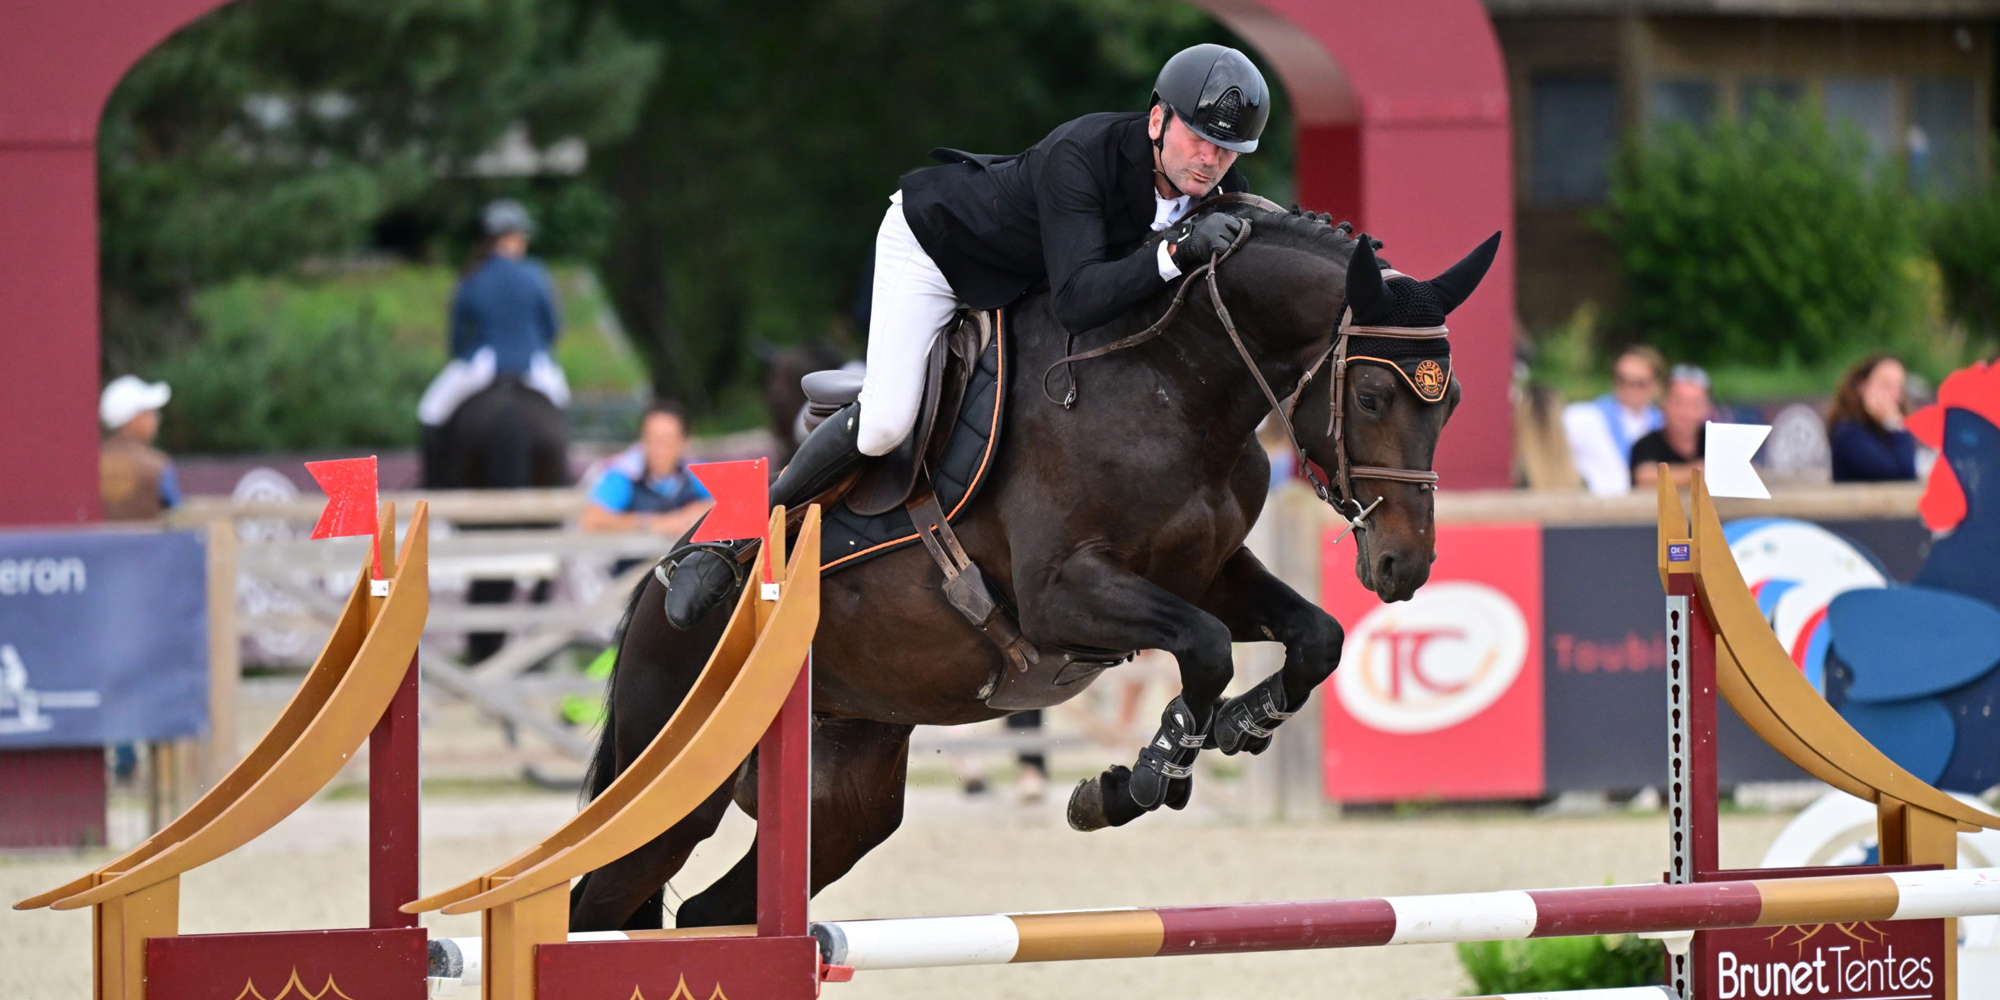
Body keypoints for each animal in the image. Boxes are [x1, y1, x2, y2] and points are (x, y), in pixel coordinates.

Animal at [567, 203, 1500, 931]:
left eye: (1450, 400)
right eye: (1372, 397)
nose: (1405, 565)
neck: (1172, 387)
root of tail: (648, 596)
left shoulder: (1209, 574)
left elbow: (1315, 636)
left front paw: (1238, 727)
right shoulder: (1065, 597)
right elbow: (1203, 648)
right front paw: (1141, 779)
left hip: (842, 792)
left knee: (705, 912)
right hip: (677, 779)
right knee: (595, 903)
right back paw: (706, 573)